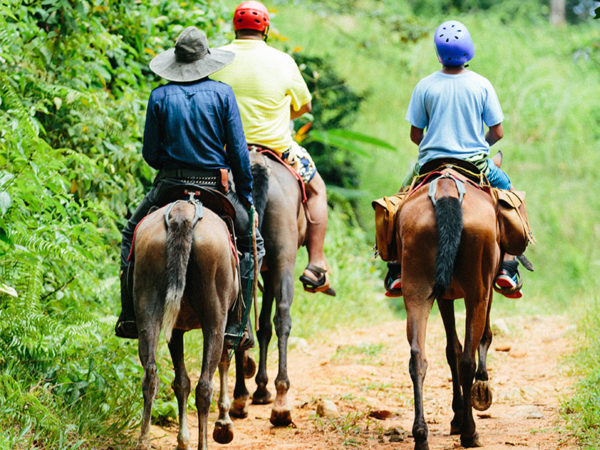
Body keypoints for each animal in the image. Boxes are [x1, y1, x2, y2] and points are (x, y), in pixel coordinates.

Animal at [135, 199, 240, 448]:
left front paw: (182, 440)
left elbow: (181, 382)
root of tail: (182, 212)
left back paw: (143, 441)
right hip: (216, 317)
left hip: (148, 300)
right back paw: (204, 443)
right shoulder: (225, 325)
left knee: (150, 375)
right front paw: (224, 423)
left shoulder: (176, 329)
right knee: (205, 386)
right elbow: (223, 362)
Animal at [229, 150, 308, 426]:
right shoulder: (270, 272)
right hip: (282, 259)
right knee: (282, 315)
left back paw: (241, 397)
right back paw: (279, 400)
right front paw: (262, 388)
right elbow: (264, 325)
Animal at [398, 167, 502, 448]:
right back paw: (470, 432)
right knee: (467, 360)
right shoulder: (484, 291)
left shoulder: (443, 296)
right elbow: (480, 339)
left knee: (418, 358)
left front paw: (456, 414)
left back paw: (421, 435)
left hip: (416, 289)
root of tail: (447, 192)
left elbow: (450, 349)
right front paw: (479, 391)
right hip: (476, 291)